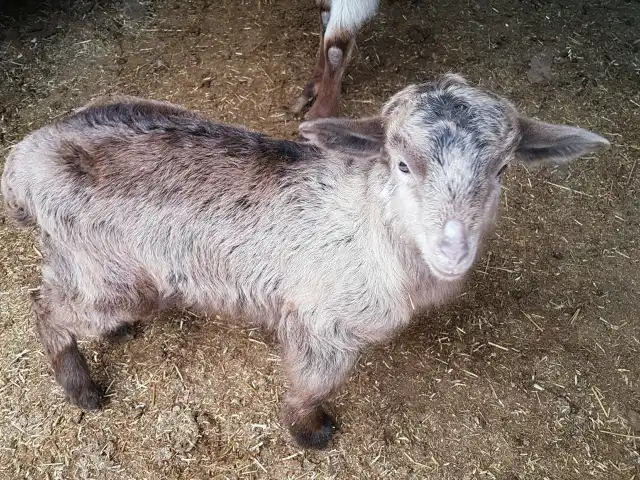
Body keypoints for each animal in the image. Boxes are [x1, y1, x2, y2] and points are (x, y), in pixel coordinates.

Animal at [1, 73, 608, 448]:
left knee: (49, 289)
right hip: (116, 274)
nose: (452, 250)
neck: (368, 224)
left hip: (79, 253)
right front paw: (310, 432)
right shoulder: (322, 323)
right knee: (47, 309)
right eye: (402, 164)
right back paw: (80, 387)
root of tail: (23, 161)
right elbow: (313, 383)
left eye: (503, 168)